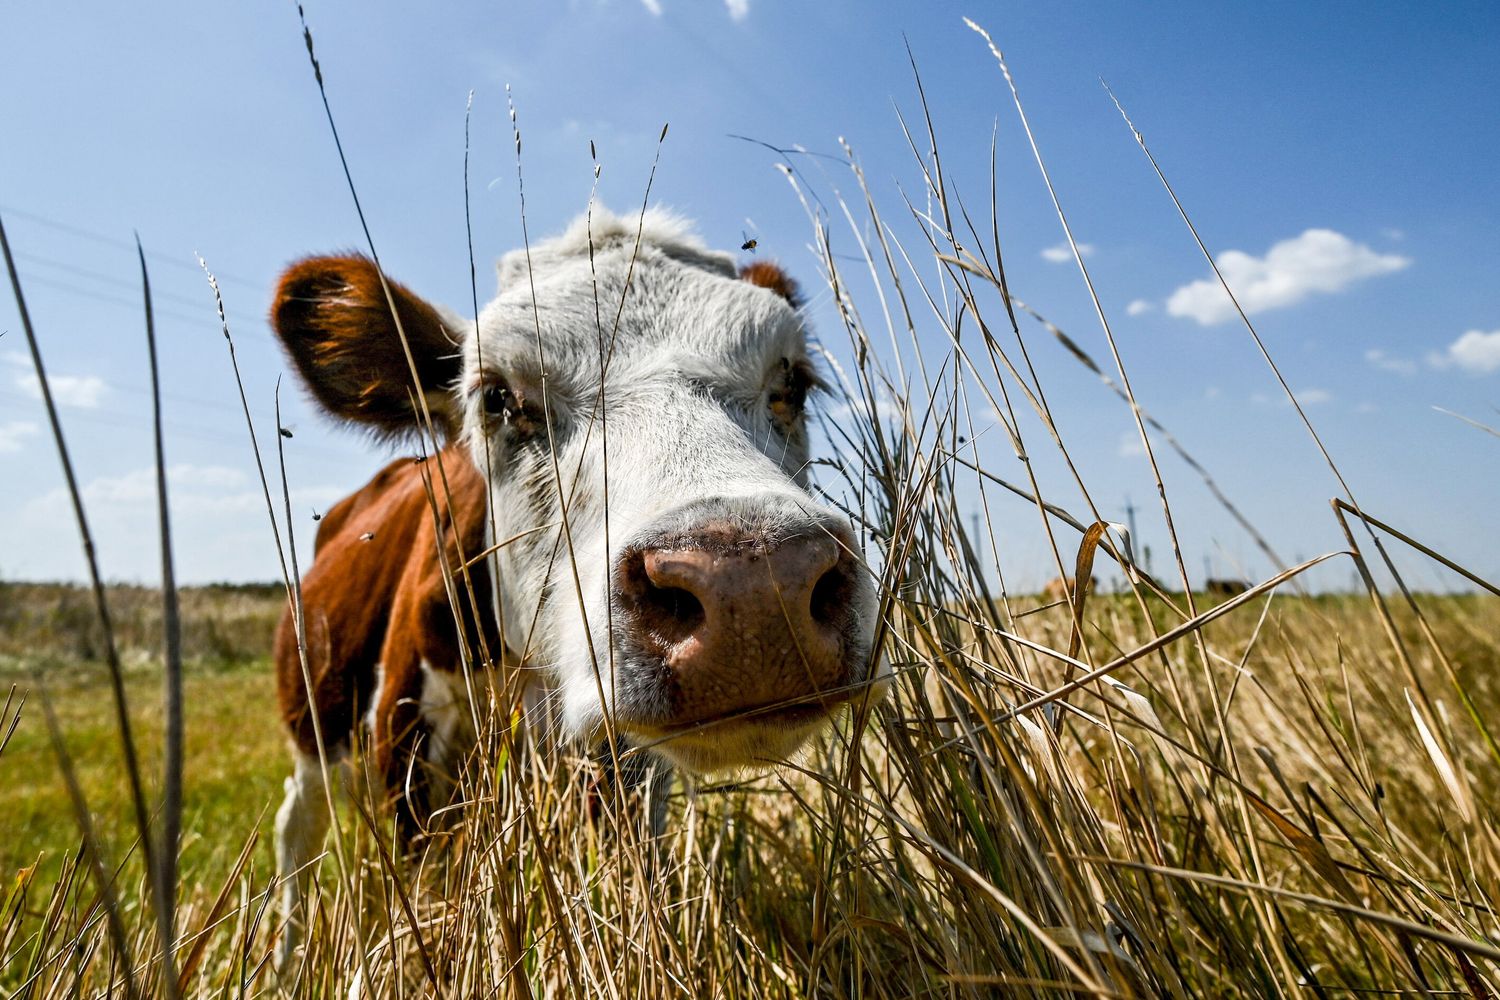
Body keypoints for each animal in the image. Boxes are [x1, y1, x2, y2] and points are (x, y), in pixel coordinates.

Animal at [268, 209, 885, 963]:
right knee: (297, 824)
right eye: (498, 397)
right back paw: (287, 954)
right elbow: (430, 893)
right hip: (316, 714)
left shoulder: (624, 771)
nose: (753, 588)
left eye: (792, 384)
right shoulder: (403, 736)